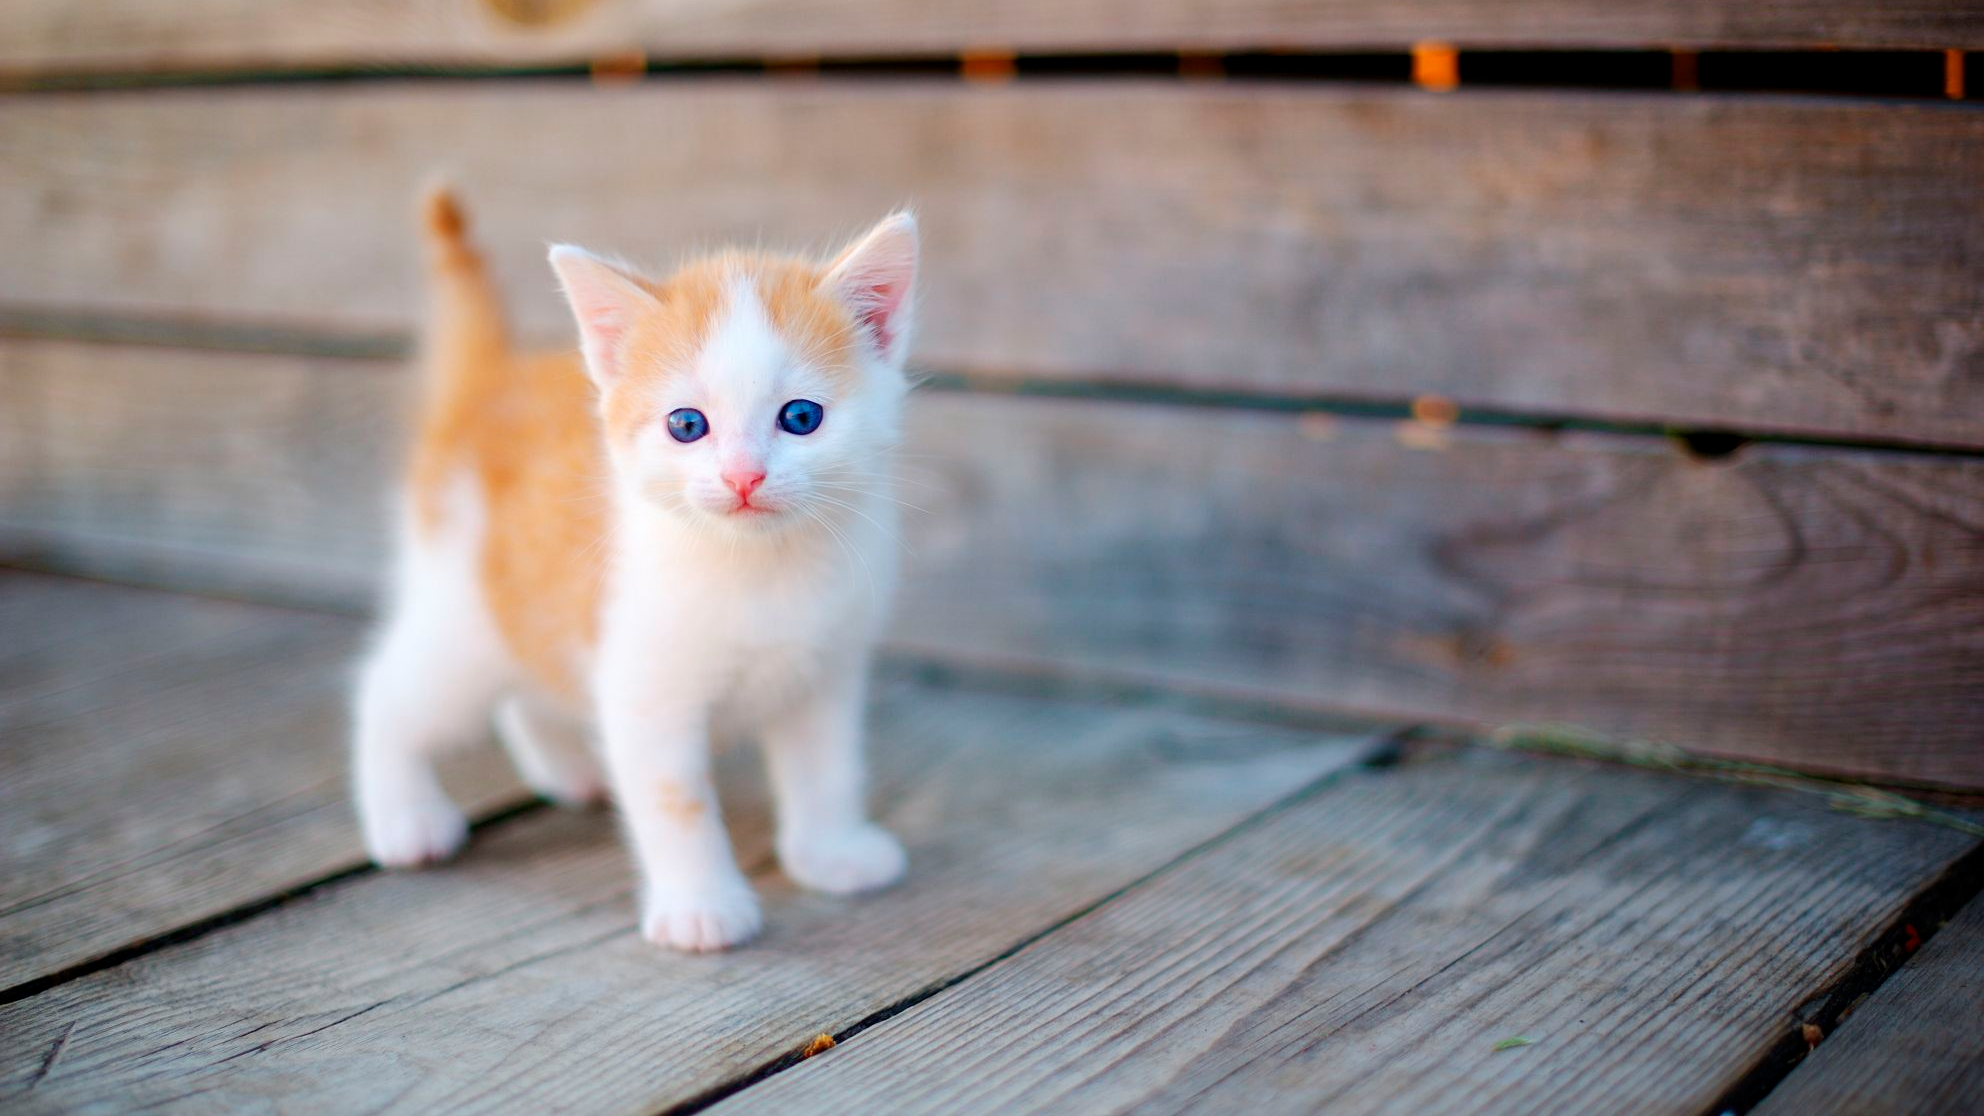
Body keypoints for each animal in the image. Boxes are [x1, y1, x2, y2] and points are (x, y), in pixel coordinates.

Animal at [355, 188, 912, 945]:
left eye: (801, 417)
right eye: (686, 426)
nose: (743, 477)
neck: (759, 567)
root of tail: (492, 379)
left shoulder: (824, 670)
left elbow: (826, 770)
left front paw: (831, 854)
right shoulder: (646, 688)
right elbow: (675, 801)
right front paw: (702, 908)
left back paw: (566, 768)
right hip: (462, 613)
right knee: (386, 692)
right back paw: (405, 816)